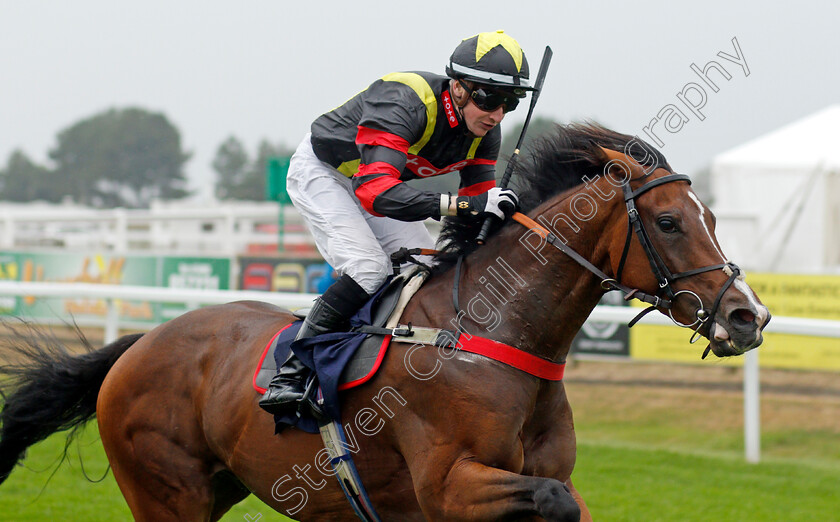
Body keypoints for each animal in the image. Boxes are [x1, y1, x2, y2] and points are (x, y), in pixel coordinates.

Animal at [0, 124, 768, 516]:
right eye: (668, 222)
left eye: (712, 216)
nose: (749, 315)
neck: (488, 333)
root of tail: (139, 344)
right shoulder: (451, 487)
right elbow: (552, 500)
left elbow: (567, 499)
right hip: (167, 491)